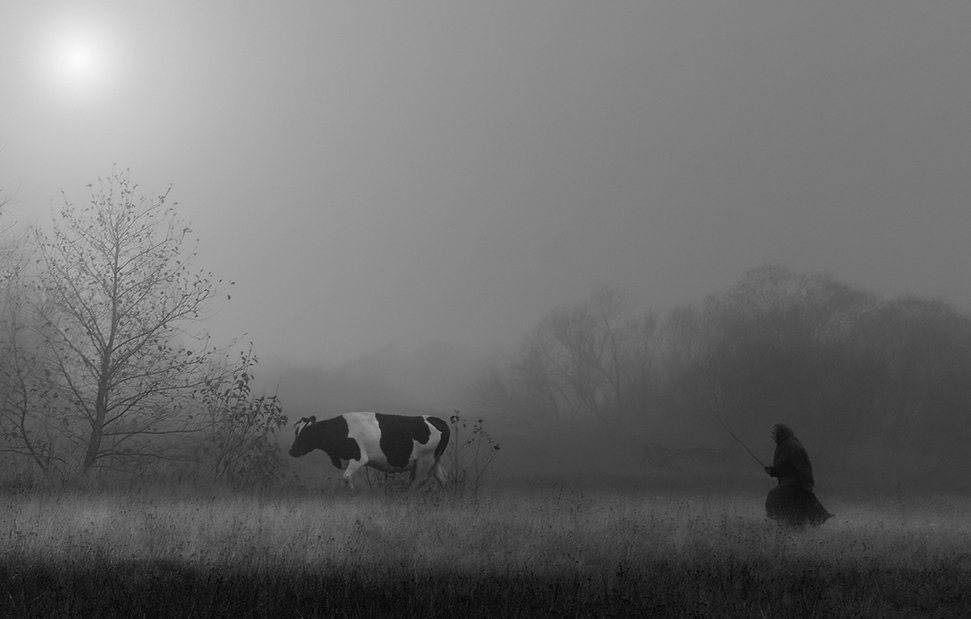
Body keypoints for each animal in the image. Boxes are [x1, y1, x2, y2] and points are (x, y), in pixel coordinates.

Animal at [288, 414, 452, 492]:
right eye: (296, 431)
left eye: (306, 434)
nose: (291, 451)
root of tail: (440, 421)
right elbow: (348, 477)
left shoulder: (359, 458)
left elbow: (346, 477)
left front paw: (353, 493)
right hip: (435, 459)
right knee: (443, 478)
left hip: (425, 460)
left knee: (418, 481)